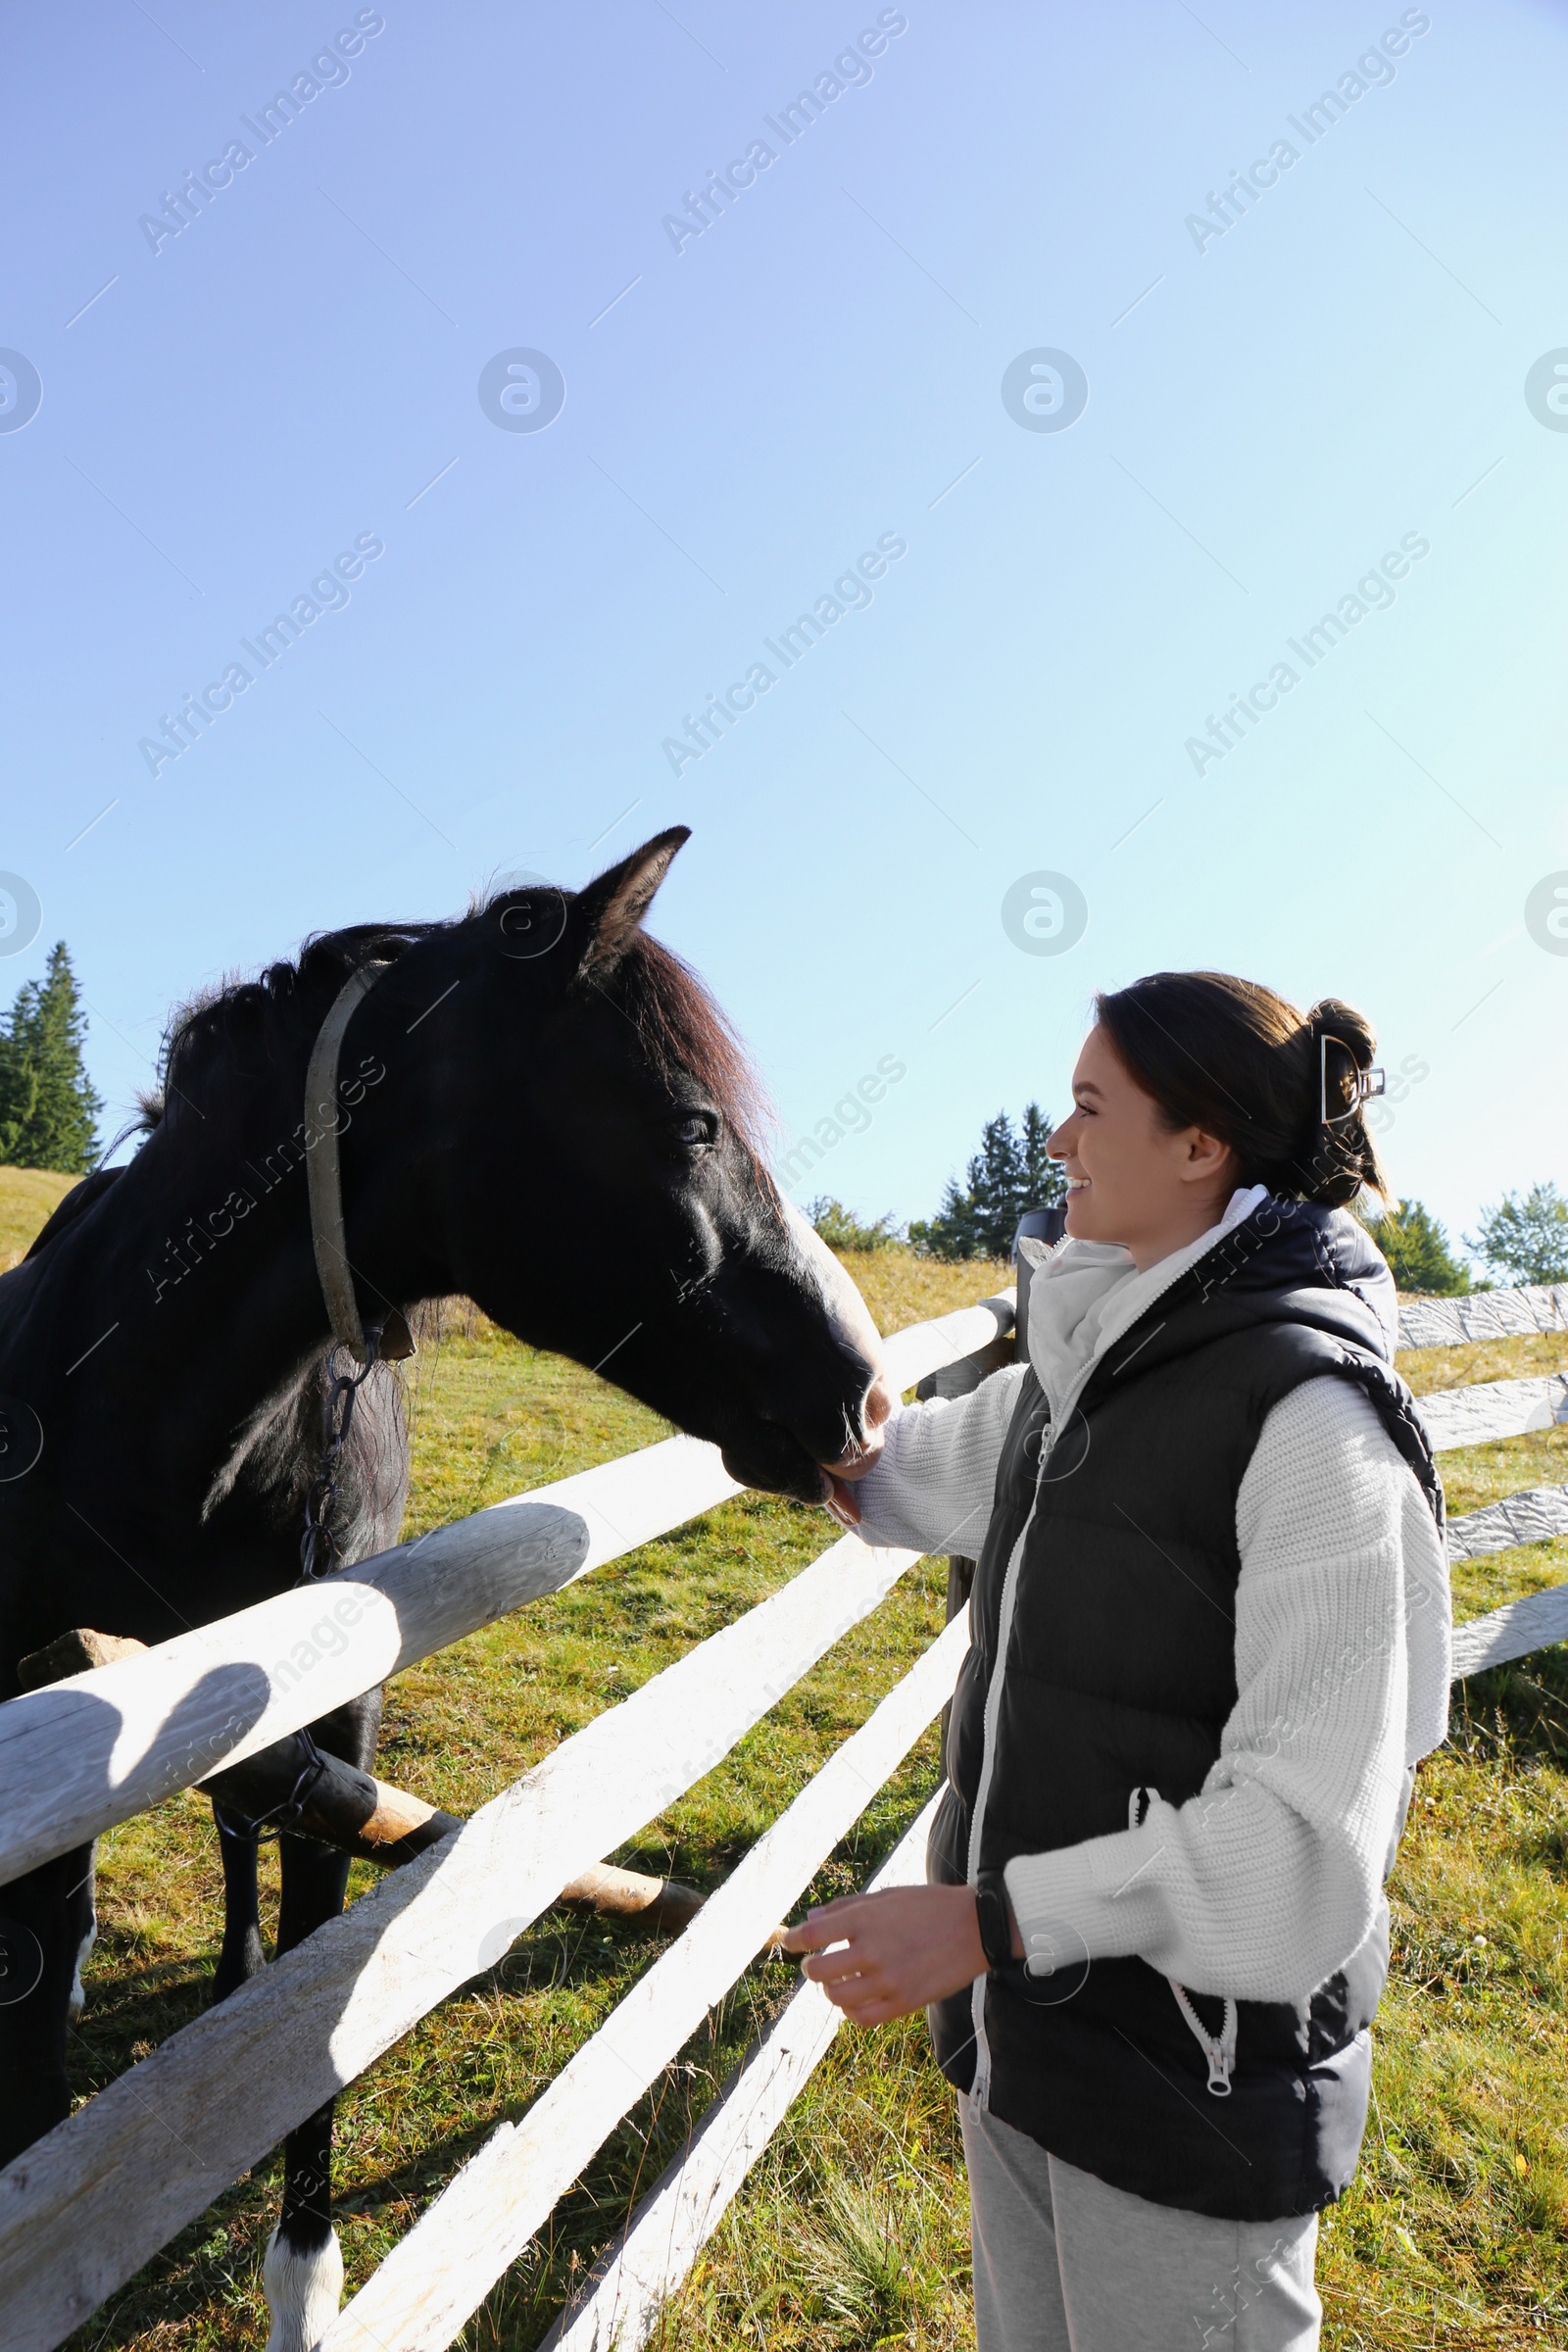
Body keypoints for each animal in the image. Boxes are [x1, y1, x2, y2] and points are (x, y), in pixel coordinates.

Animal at [0, 837, 883, 2342]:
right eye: (694, 1125)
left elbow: (305, 1969)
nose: (865, 1384)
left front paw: (304, 2283)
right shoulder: (39, 1667)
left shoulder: (322, 1694)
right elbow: (50, 1903)